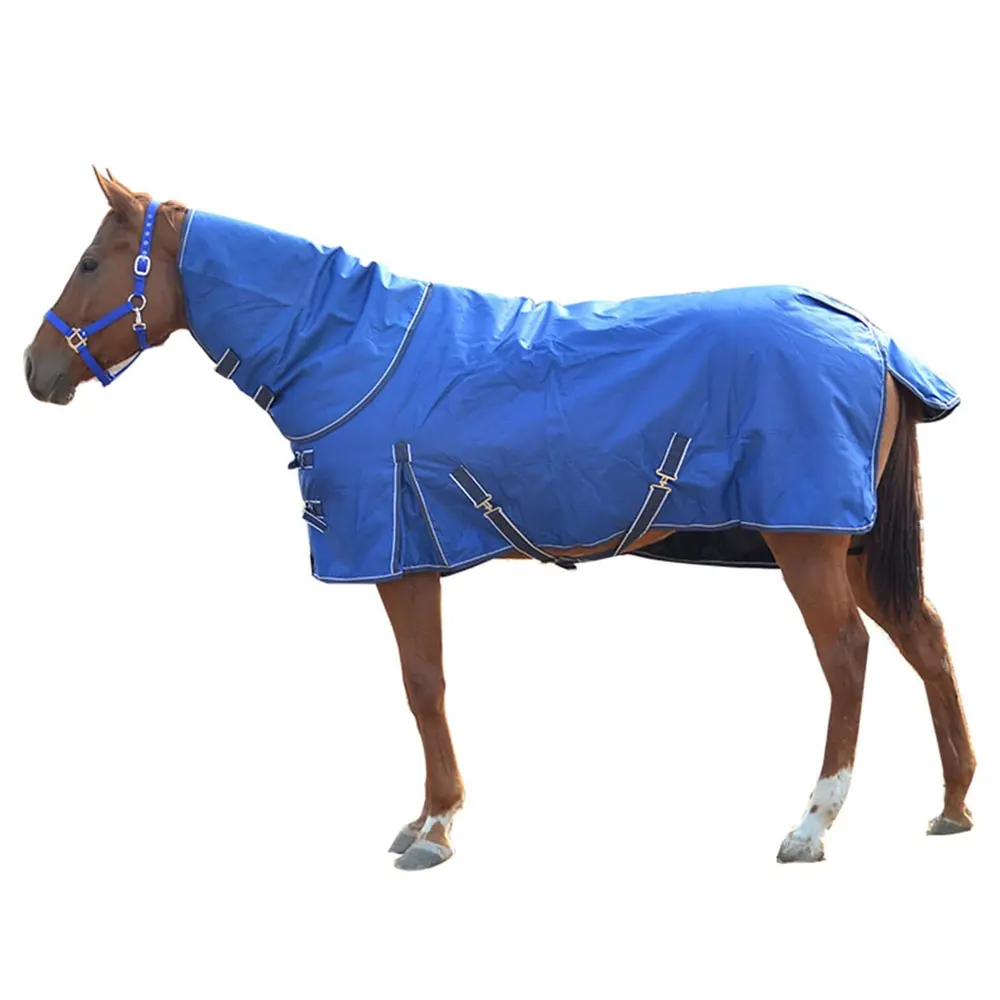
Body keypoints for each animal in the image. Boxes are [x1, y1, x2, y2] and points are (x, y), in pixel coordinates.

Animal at [23, 169, 976, 870]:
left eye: (91, 264)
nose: (36, 369)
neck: (350, 349)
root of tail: (867, 334)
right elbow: (425, 687)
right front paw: (424, 819)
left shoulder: (399, 558)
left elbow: (422, 686)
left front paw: (436, 828)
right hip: (847, 539)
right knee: (923, 637)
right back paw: (954, 805)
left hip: (807, 538)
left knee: (847, 655)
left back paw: (812, 825)